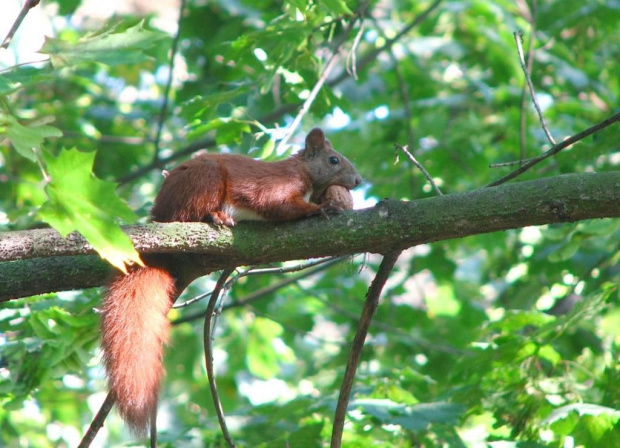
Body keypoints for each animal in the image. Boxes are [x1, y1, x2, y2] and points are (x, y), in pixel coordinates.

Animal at [99, 128, 360, 436]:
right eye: (334, 160)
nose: (358, 181)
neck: (305, 172)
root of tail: (158, 214)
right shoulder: (279, 184)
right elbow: (278, 204)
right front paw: (317, 208)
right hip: (205, 180)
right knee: (187, 215)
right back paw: (215, 215)